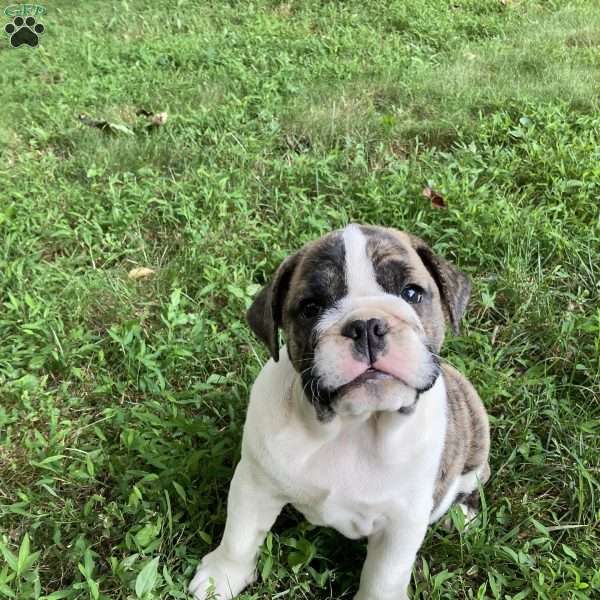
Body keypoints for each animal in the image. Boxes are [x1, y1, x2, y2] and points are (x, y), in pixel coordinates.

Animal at [190, 224, 490, 600]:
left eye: (412, 293)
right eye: (310, 308)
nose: (367, 326)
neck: (352, 426)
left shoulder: (401, 523)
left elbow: (383, 577)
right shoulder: (254, 483)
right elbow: (239, 536)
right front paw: (221, 577)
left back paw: (463, 512)